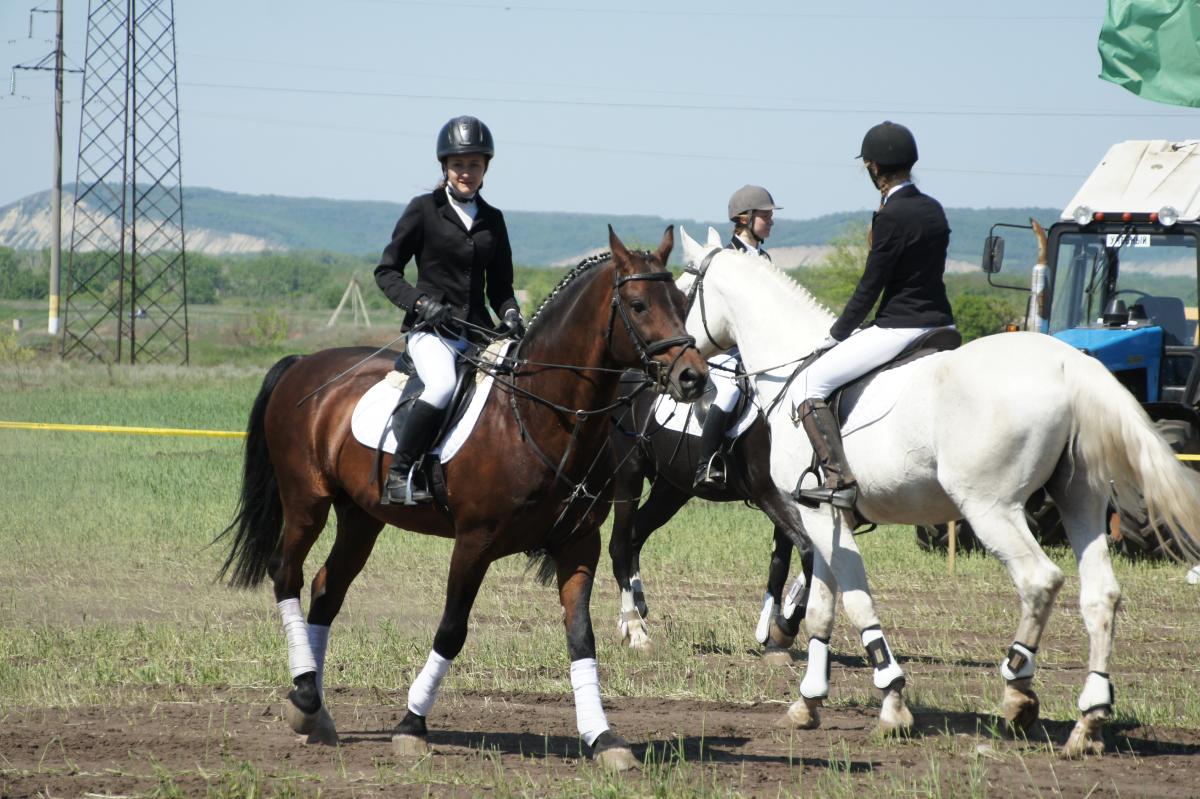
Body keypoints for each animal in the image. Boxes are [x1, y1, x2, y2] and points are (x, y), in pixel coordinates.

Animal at [218, 221, 700, 767]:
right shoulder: (474, 542)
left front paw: (604, 738)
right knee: (287, 573)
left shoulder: (579, 545)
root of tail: (304, 363)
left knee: (327, 589)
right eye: (638, 305)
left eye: (682, 303)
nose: (693, 377)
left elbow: (581, 638)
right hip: (306, 501)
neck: (539, 415)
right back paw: (302, 693)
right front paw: (411, 724)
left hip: (361, 517)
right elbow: (452, 629)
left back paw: (314, 709)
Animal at [609, 369, 816, 657]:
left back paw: (633, 612)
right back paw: (636, 631)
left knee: (635, 536)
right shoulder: (770, 495)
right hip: (629, 474)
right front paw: (784, 627)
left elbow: (782, 564)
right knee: (619, 546)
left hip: (671, 490)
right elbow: (808, 554)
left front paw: (773, 633)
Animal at [676, 221, 1200, 753]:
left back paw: (1018, 689)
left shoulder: (820, 515)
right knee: (1101, 595)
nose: (687, 373)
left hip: (991, 508)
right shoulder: (825, 516)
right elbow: (824, 607)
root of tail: (1069, 365)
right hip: (1081, 502)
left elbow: (856, 600)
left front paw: (892, 701)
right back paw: (1088, 721)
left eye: (680, 296)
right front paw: (808, 703)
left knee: (1039, 580)